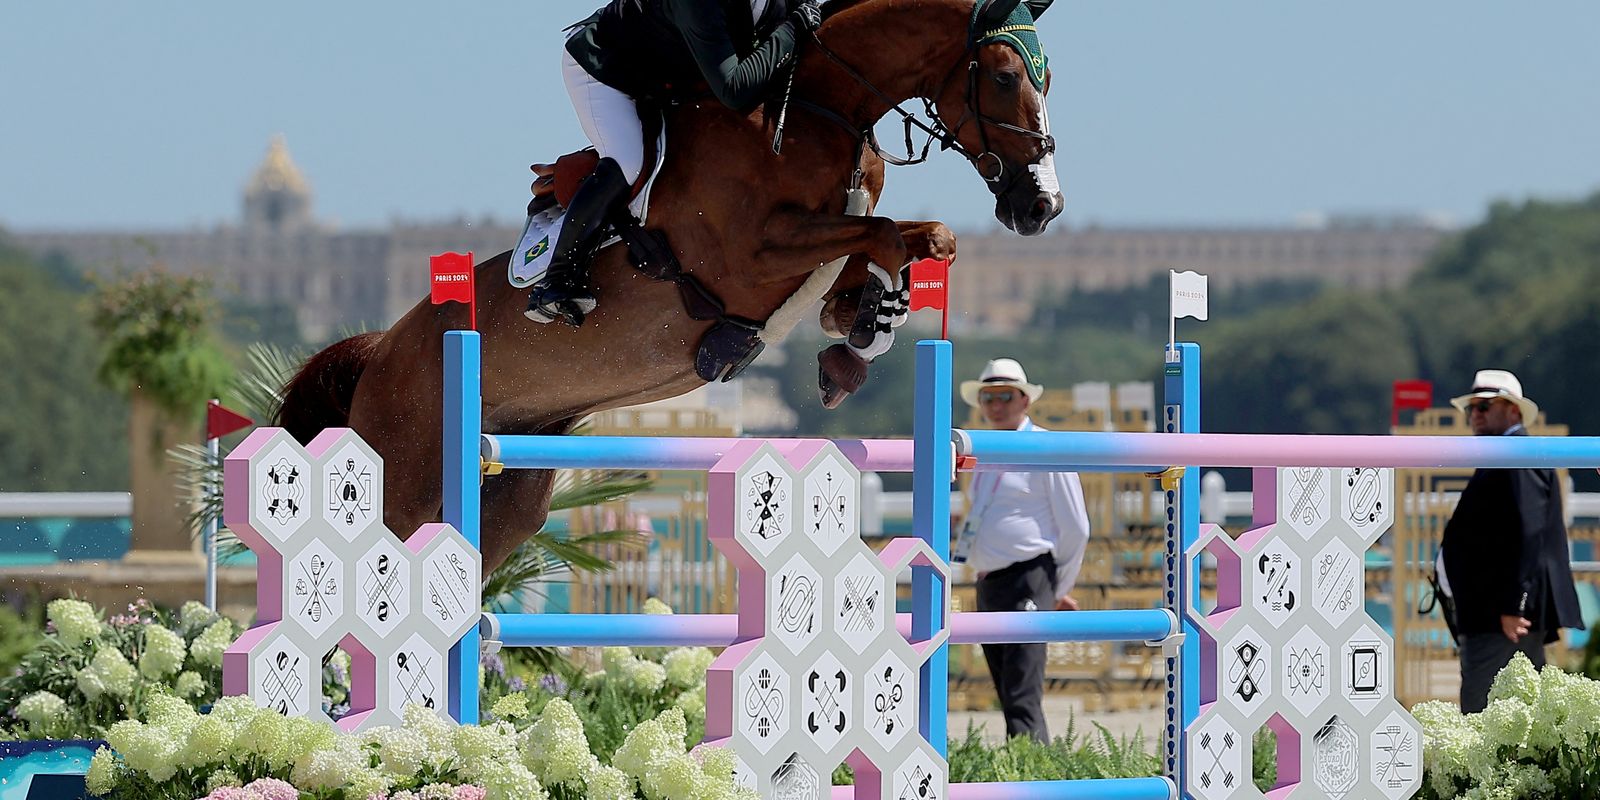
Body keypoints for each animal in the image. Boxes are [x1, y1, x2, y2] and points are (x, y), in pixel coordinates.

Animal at [278, 0, 1062, 576]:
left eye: (1045, 77)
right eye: (1001, 76)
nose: (1041, 207)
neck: (817, 107)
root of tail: (380, 351)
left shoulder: (820, 250)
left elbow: (920, 241)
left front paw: (859, 337)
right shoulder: (749, 258)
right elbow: (890, 238)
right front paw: (857, 336)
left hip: (508, 494)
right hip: (403, 482)